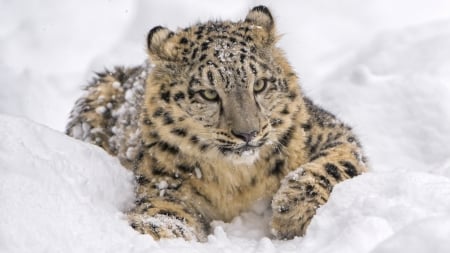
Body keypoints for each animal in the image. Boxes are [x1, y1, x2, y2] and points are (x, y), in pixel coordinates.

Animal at [67, 5, 370, 241]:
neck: (239, 181)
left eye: (259, 84)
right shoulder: (164, 183)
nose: (248, 133)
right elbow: (165, 209)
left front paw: (291, 210)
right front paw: (151, 228)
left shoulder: (330, 132)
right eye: (209, 94)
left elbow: (336, 164)